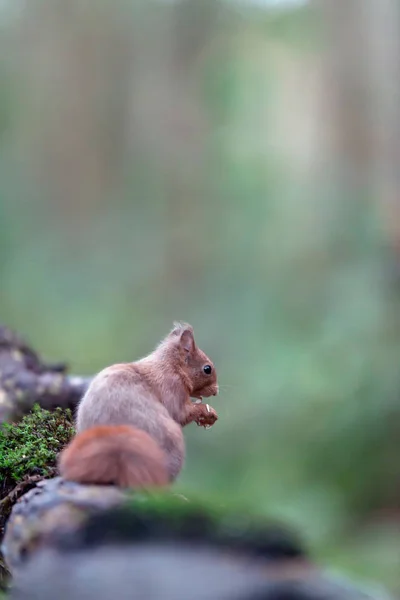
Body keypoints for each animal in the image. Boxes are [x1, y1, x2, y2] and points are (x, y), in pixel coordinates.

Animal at [58, 324, 219, 488]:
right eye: (207, 369)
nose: (216, 391)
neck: (172, 366)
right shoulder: (172, 387)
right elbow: (181, 414)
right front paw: (208, 413)